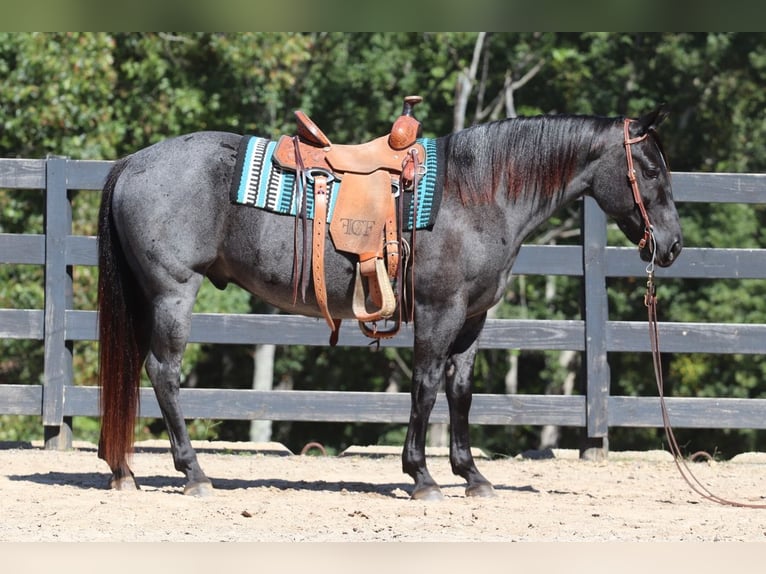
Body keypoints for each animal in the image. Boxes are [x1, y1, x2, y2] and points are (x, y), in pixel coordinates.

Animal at [97, 106, 684, 502]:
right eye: (652, 169)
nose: (672, 245)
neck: (475, 194)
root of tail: (131, 162)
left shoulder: (472, 318)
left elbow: (460, 392)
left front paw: (472, 475)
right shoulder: (440, 311)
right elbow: (424, 385)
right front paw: (422, 476)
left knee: (133, 369)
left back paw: (124, 472)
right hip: (173, 291)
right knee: (164, 371)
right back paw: (194, 473)